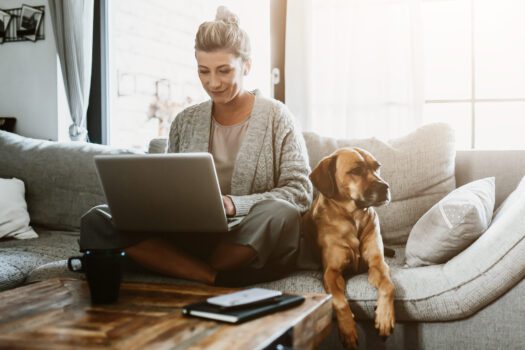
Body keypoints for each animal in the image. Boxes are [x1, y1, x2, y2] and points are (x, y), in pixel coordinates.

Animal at [302, 147, 392, 348]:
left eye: (377, 167)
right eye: (356, 170)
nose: (386, 187)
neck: (354, 217)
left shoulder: (378, 264)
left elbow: (388, 286)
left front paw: (384, 317)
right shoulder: (331, 272)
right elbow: (339, 301)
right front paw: (348, 329)